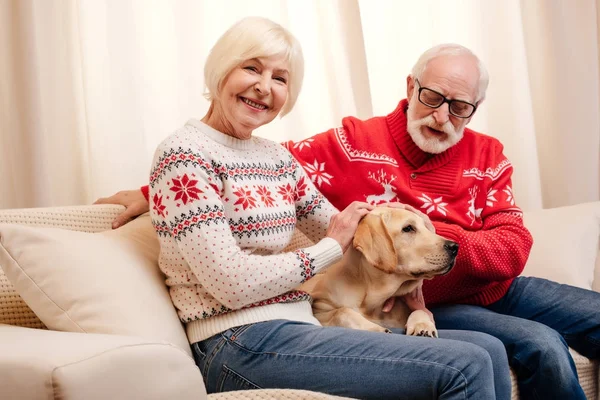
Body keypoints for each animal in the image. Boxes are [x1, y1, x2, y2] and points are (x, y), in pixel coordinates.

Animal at [300, 208, 460, 336]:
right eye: (408, 228)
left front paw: (423, 325)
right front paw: (374, 328)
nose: (455, 247)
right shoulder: (319, 309)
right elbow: (342, 311)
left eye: (426, 227)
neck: (373, 302)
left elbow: (419, 310)